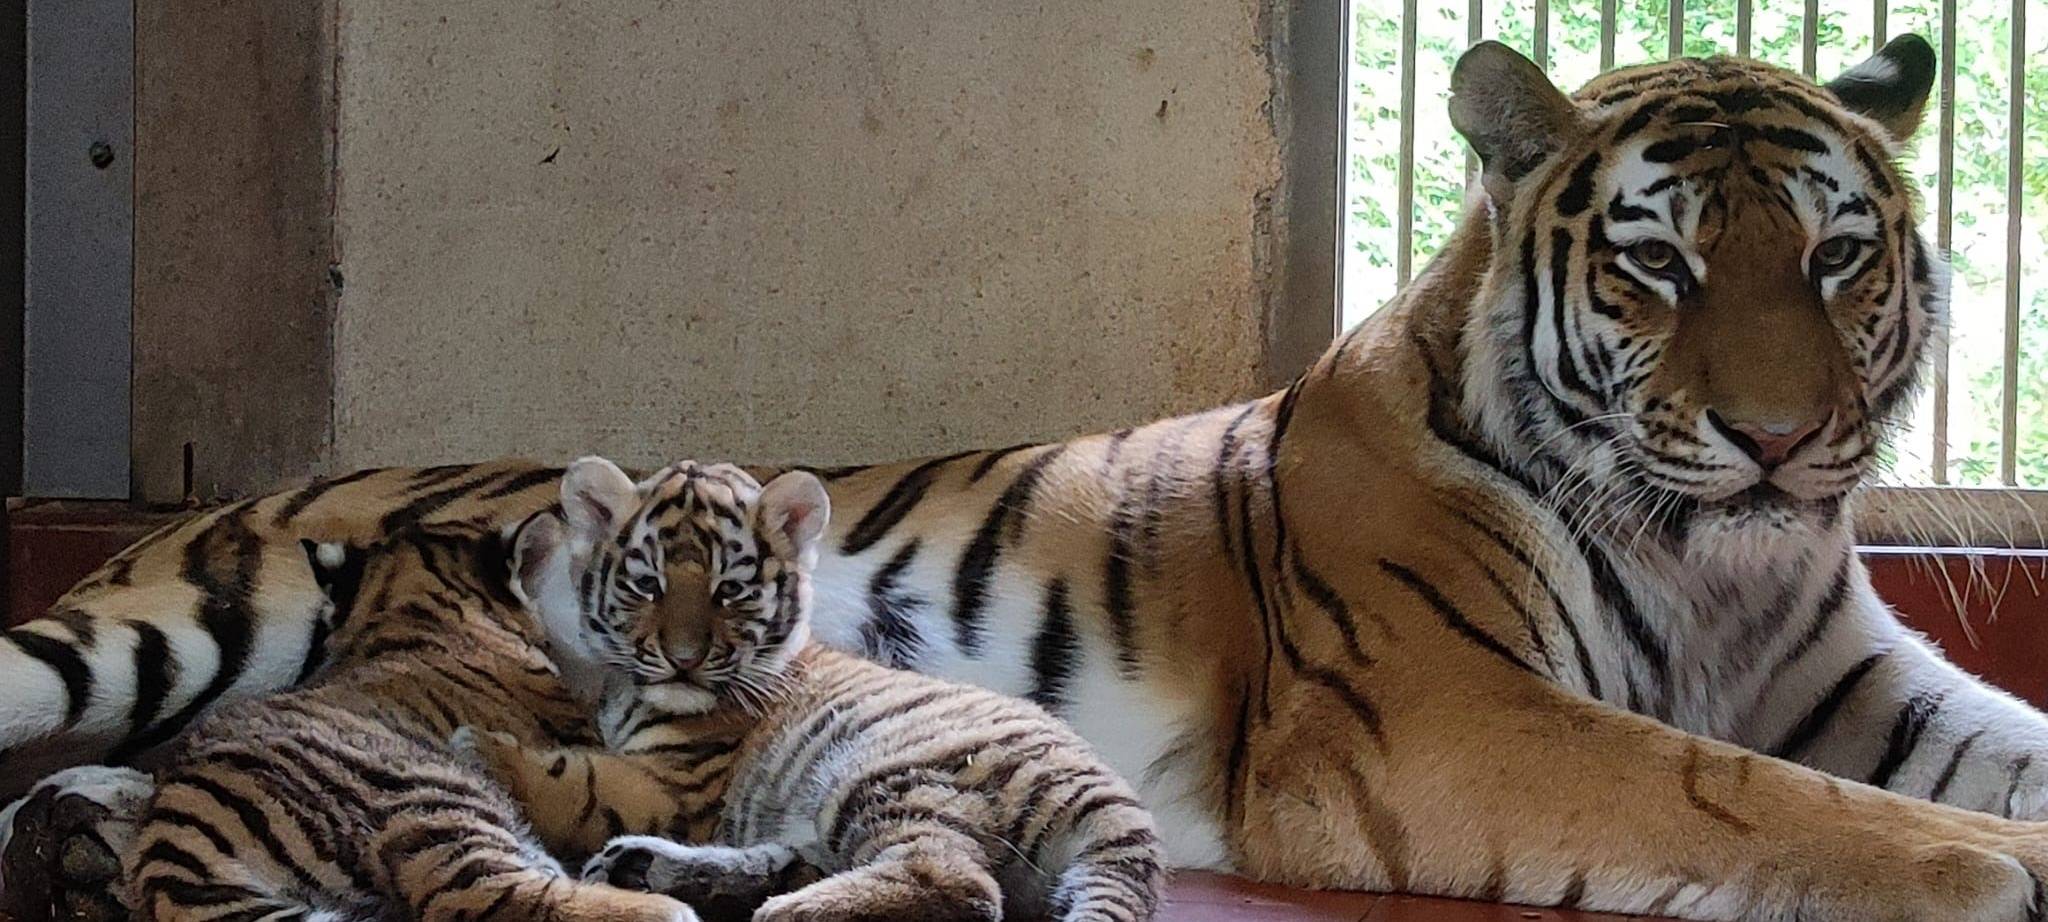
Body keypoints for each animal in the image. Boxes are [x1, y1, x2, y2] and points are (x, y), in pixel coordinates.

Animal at [452, 457, 1165, 922]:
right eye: (647, 585)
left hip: (886, 773)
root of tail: (1110, 792)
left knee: (957, 880)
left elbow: (578, 781)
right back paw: (648, 868)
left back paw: (786, 911)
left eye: (730, 590)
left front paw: (476, 745)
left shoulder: (672, 785)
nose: (683, 660)